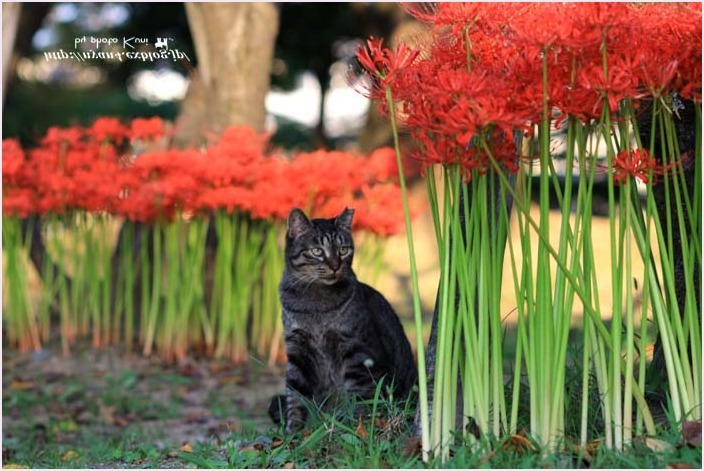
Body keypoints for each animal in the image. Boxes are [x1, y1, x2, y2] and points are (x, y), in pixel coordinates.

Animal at [270, 208, 416, 434]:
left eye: (343, 249)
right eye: (317, 251)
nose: (335, 266)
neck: (315, 305)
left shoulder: (357, 352)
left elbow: (360, 398)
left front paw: (358, 430)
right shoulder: (297, 351)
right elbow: (295, 396)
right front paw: (294, 434)